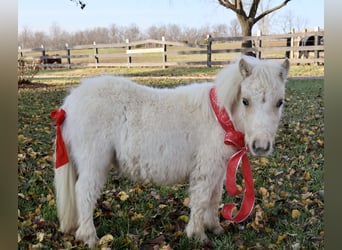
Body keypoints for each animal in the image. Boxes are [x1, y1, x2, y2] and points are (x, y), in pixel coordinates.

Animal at [53, 55, 288, 247]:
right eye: (245, 100)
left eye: (280, 102)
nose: (260, 146)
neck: (219, 117)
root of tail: (68, 105)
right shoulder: (206, 170)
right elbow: (201, 199)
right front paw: (198, 235)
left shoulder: (219, 170)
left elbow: (214, 198)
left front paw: (215, 228)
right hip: (93, 164)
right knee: (84, 193)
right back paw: (90, 237)